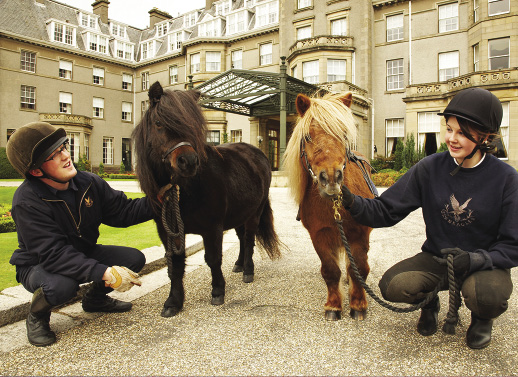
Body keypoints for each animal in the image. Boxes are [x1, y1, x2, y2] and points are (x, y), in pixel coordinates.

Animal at [132, 82, 282, 318]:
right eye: (158, 123)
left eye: (192, 124)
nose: (189, 161)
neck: (185, 190)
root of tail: (258, 153)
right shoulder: (167, 230)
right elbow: (175, 263)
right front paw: (173, 302)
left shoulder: (212, 228)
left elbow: (213, 259)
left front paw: (218, 291)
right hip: (239, 213)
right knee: (241, 238)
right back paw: (239, 264)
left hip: (254, 213)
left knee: (249, 239)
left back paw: (248, 270)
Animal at [284, 92, 374, 318]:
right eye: (307, 137)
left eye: (343, 135)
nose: (331, 178)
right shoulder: (319, 235)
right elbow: (330, 271)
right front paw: (333, 305)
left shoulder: (360, 234)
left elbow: (359, 268)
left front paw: (358, 304)